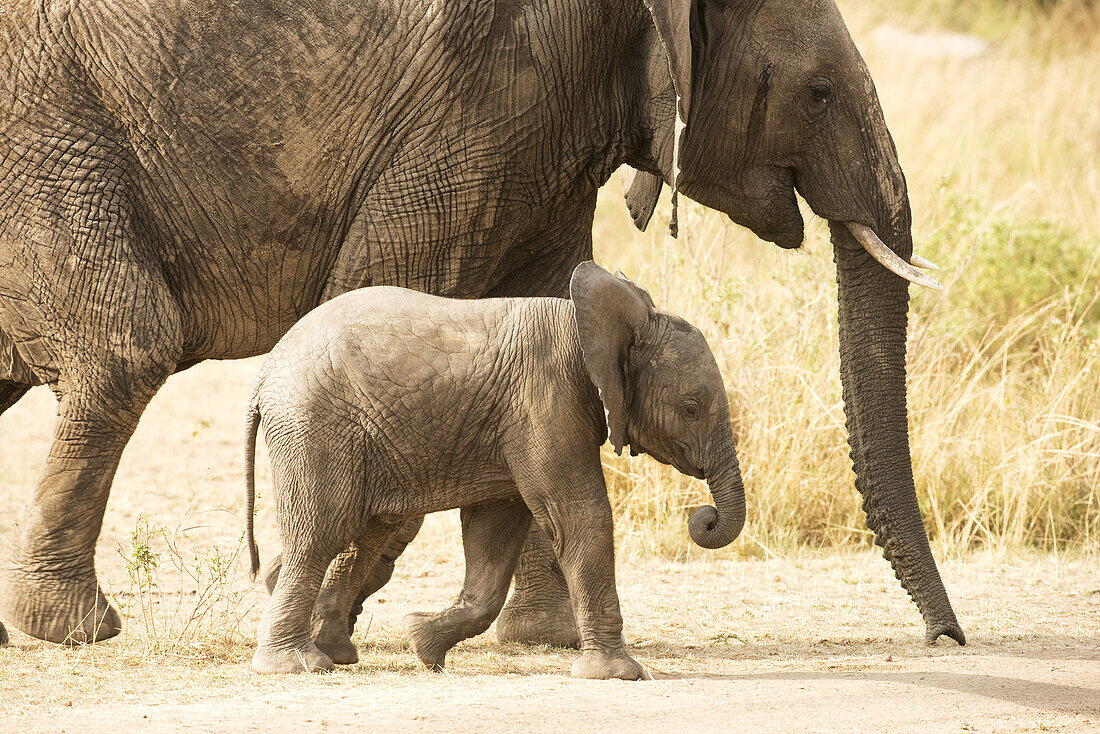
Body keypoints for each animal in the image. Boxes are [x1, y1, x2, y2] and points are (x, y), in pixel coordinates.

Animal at [245, 260, 748, 682]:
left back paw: (337, 653)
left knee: (365, 533)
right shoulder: (545, 402)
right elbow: (581, 517)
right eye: (691, 409)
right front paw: (618, 675)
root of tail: (265, 373)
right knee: (320, 533)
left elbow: (495, 532)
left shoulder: (517, 421)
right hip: (316, 425)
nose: (703, 517)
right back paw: (298, 664)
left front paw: (423, 644)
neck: (588, 329)